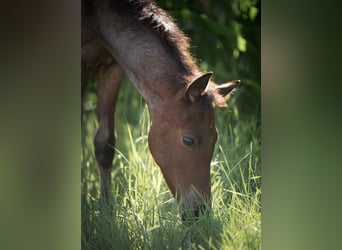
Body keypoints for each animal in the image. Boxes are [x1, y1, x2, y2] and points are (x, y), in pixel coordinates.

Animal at [81, 0, 239, 219]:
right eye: (188, 140)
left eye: (215, 137)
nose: (200, 212)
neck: (96, 17)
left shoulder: (111, 67)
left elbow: (105, 145)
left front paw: (107, 212)